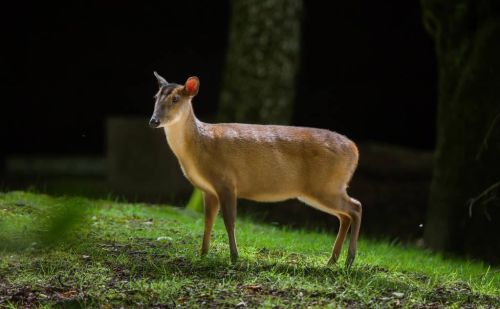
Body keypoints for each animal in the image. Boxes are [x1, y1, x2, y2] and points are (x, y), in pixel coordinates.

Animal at [150, 72, 362, 268]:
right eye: (155, 96)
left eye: (175, 98)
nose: (154, 121)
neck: (200, 146)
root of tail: (355, 150)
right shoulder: (207, 189)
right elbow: (207, 221)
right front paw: (202, 255)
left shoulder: (226, 181)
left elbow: (229, 221)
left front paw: (234, 257)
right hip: (323, 189)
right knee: (345, 216)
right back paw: (333, 261)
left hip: (326, 185)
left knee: (356, 207)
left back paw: (349, 260)